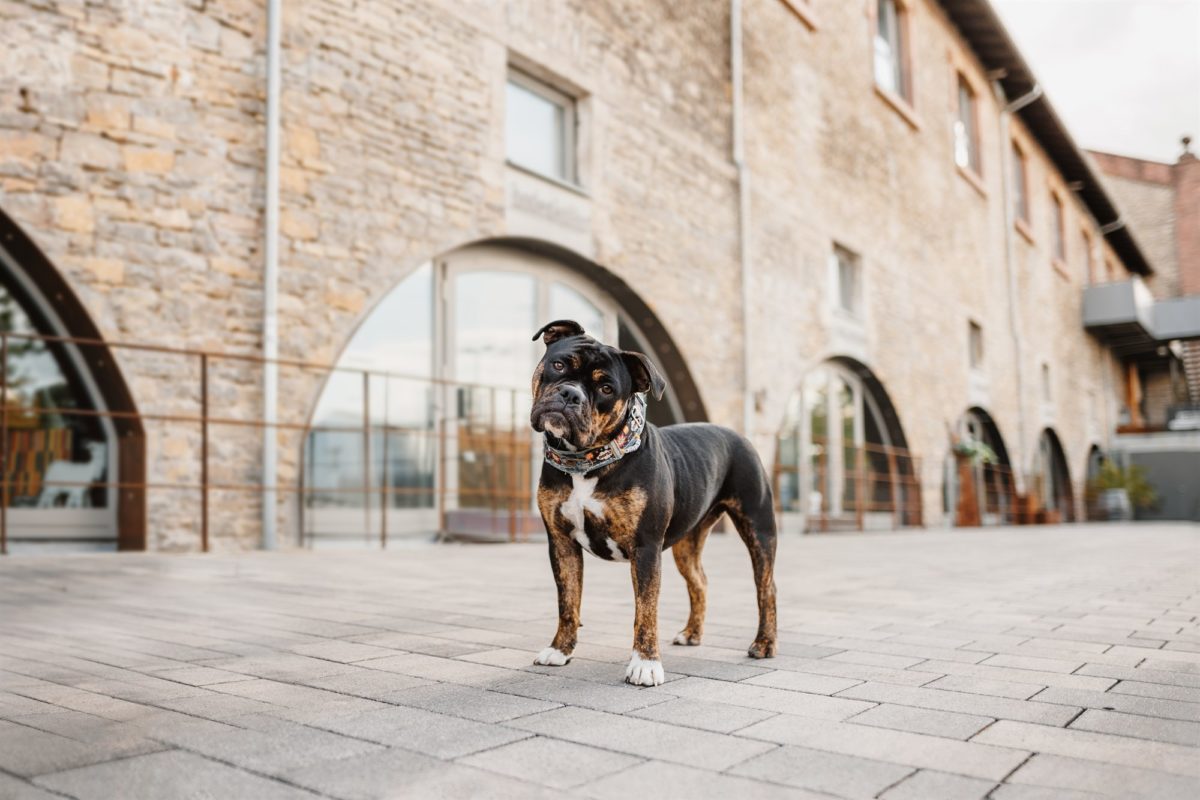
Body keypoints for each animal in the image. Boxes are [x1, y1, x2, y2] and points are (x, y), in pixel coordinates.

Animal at [528, 321, 777, 690]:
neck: (588, 461)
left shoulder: (645, 547)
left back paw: (764, 643)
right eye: (559, 365)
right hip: (687, 543)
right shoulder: (560, 543)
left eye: (606, 388)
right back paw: (692, 634)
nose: (571, 394)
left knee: (766, 586)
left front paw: (645, 665)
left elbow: (645, 610)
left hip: (759, 529)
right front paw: (560, 650)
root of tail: (739, 435)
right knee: (699, 581)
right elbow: (568, 601)